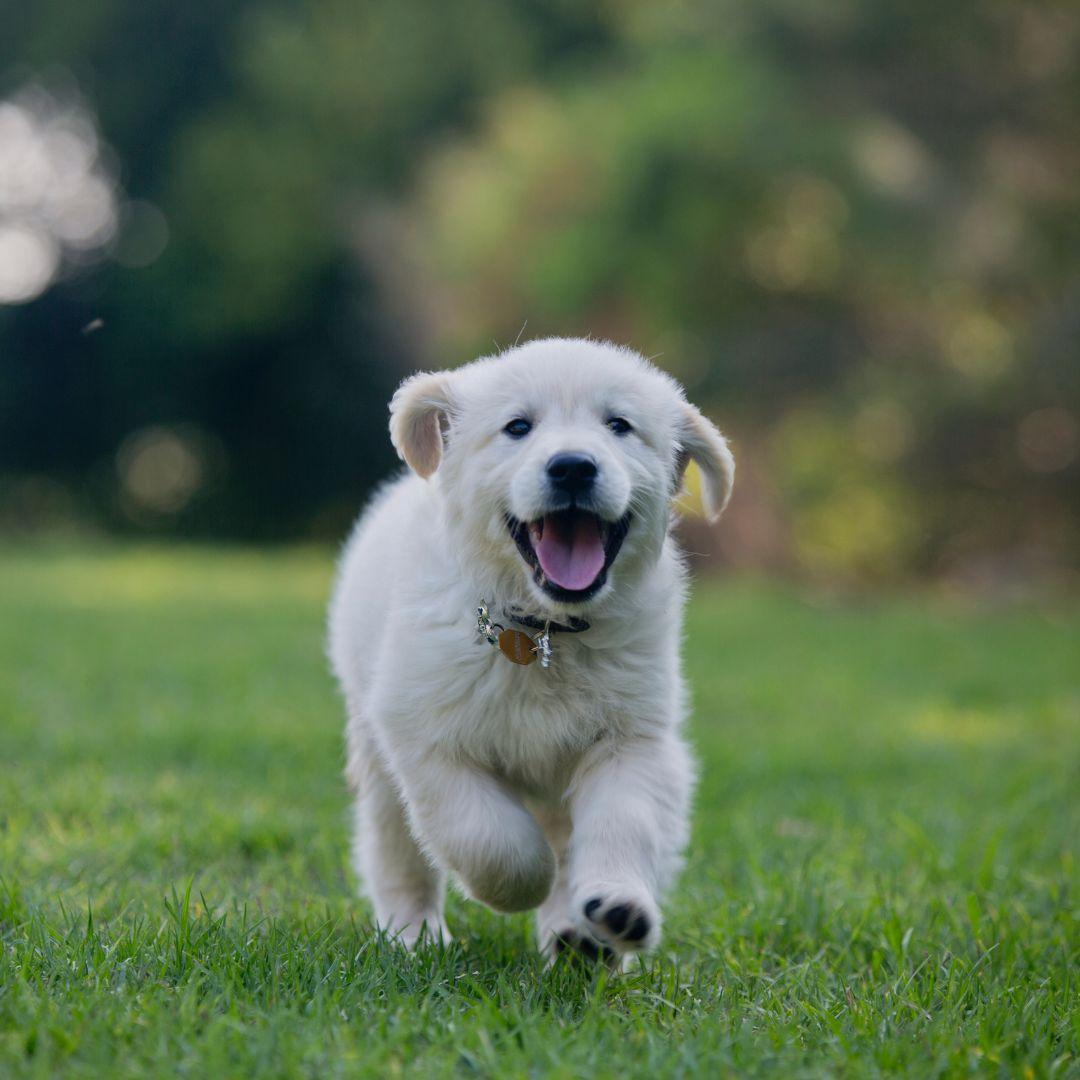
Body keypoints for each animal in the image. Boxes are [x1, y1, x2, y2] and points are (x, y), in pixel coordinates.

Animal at [326, 336, 734, 963]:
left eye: (619, 425)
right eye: (518, 426)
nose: (573, 466)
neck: (544, 631)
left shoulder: (633, 738)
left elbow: (625, 821)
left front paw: (618, 906)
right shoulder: (423, 734)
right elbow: (486, 833)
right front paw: (523, 883)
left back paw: (579, 937)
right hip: (376, 761)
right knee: (397, 854)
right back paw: (414, 934)